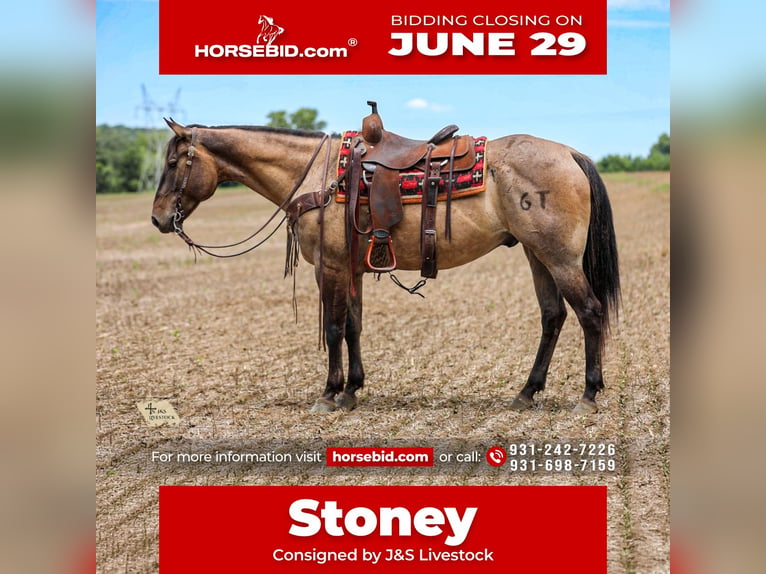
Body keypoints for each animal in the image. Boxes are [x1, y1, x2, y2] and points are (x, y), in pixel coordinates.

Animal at [151, 116, 620, 414]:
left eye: (173, 163)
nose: (158, 219)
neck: (319, 175)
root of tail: (571, 154)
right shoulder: (352, 270)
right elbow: (354, 326)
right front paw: (353, 390)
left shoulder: (330, 268)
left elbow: (333, 327)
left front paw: (329, 394)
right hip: (536, 254)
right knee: (553, 316)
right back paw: (526, 393)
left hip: (559, 258)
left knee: (590, 313)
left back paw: (588, 396)